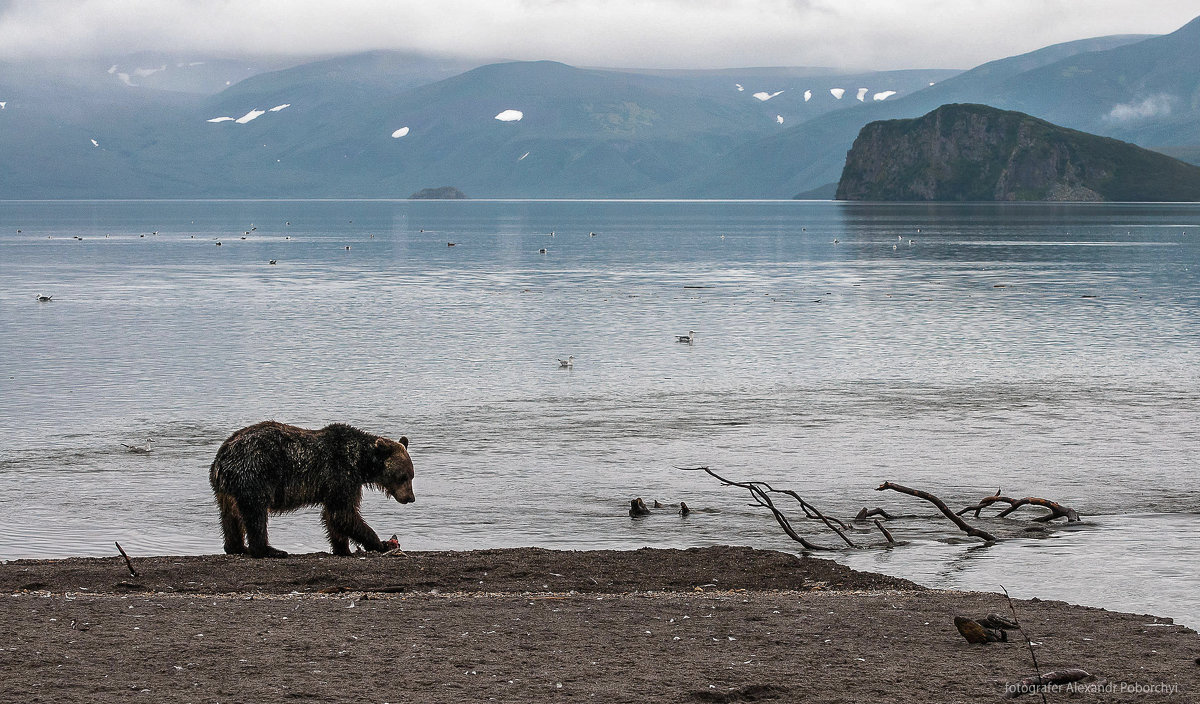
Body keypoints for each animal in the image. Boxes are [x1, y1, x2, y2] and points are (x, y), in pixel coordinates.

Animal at [206, 422, 412, 558]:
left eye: (412, 475)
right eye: (403, 476)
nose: (410, 498)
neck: (362, 463)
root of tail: (222, 458)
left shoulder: (336, 484)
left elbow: (333, 516)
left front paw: (342, 548)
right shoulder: (341, 473)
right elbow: (343, 513)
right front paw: (381, 543)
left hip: (226, 491)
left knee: (230, 516)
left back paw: (237, 547)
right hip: (254, 473)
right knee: (256, 515)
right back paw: (270, 550)